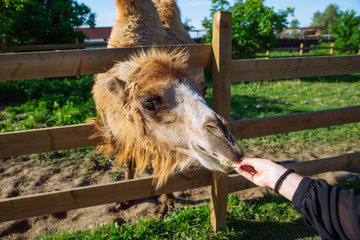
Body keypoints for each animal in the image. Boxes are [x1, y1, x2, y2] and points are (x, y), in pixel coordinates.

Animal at [89, 0, 243, 214]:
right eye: (149, 103)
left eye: (203, 89)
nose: (229, 145)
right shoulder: (126, 130)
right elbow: (129, 161)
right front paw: (124, 200)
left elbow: (161, 166)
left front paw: (166, 202)